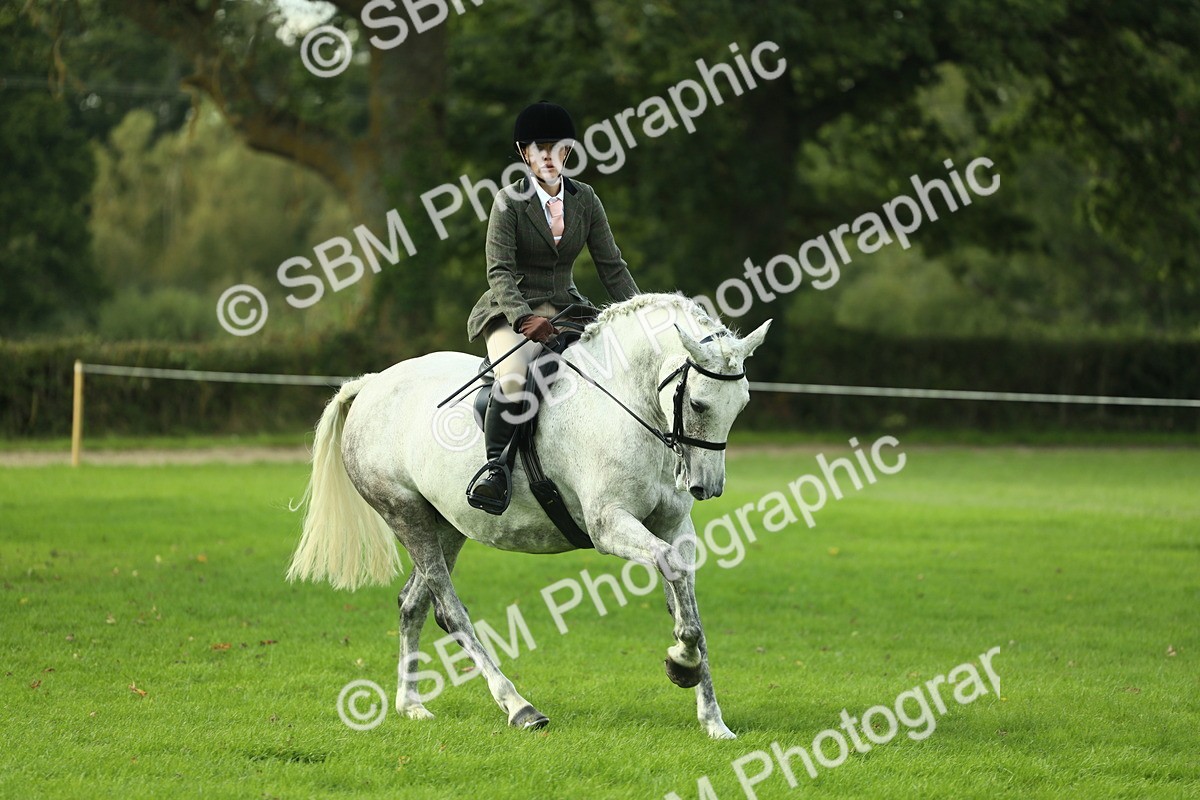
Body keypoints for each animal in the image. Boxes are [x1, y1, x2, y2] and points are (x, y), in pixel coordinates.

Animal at [287, 293, 771, 739]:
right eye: (699, 404)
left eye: (743, 404)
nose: (707, 487)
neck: (626, 403)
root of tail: (371, 385)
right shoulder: (609, 525)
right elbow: (673, 572)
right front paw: (682, 663)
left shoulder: (672, 527)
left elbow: (685, 596)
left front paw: (711, 716)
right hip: (405, 514)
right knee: (450, 610)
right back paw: (518, 706)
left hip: (446, 524)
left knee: (414, 604)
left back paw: (411, 705)